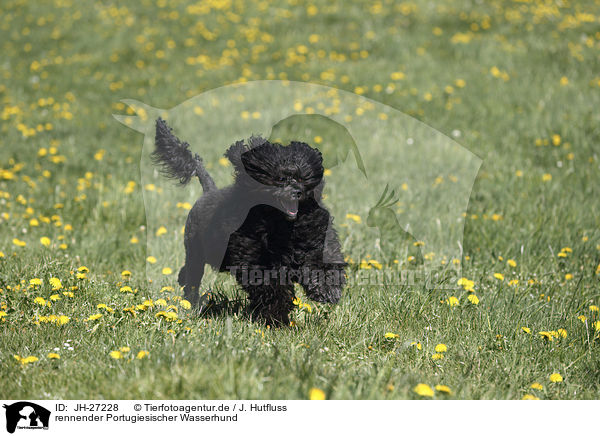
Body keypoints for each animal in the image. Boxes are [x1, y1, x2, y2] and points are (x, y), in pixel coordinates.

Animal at [151, 117, 346, 326]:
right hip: (196, 250)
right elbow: (269, 285)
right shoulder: (254, 259)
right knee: (192, 277)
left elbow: (322, 264)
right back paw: (190, 302)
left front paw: (327, 291)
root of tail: (208, 191)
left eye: (301, 178)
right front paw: (275, 316)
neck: (282, 225)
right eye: (280, 179)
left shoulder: (315, 242)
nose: (297, 192)